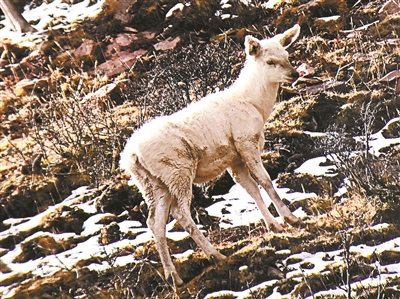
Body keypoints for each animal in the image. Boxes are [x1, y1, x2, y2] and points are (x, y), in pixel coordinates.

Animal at [120, 23, 302, 286]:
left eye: (287, 55)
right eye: (270, 61)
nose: (294, 74)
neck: (255, 104)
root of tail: (131, 156)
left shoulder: (235, 158)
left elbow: (251, 189)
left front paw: (273, 225)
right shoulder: (245, 142)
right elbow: (265, 181)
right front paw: (289, 218)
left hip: (152, 184)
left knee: (155, 222)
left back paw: (173, 275)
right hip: (178, 171)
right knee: (181, 214)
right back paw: (215, 254)